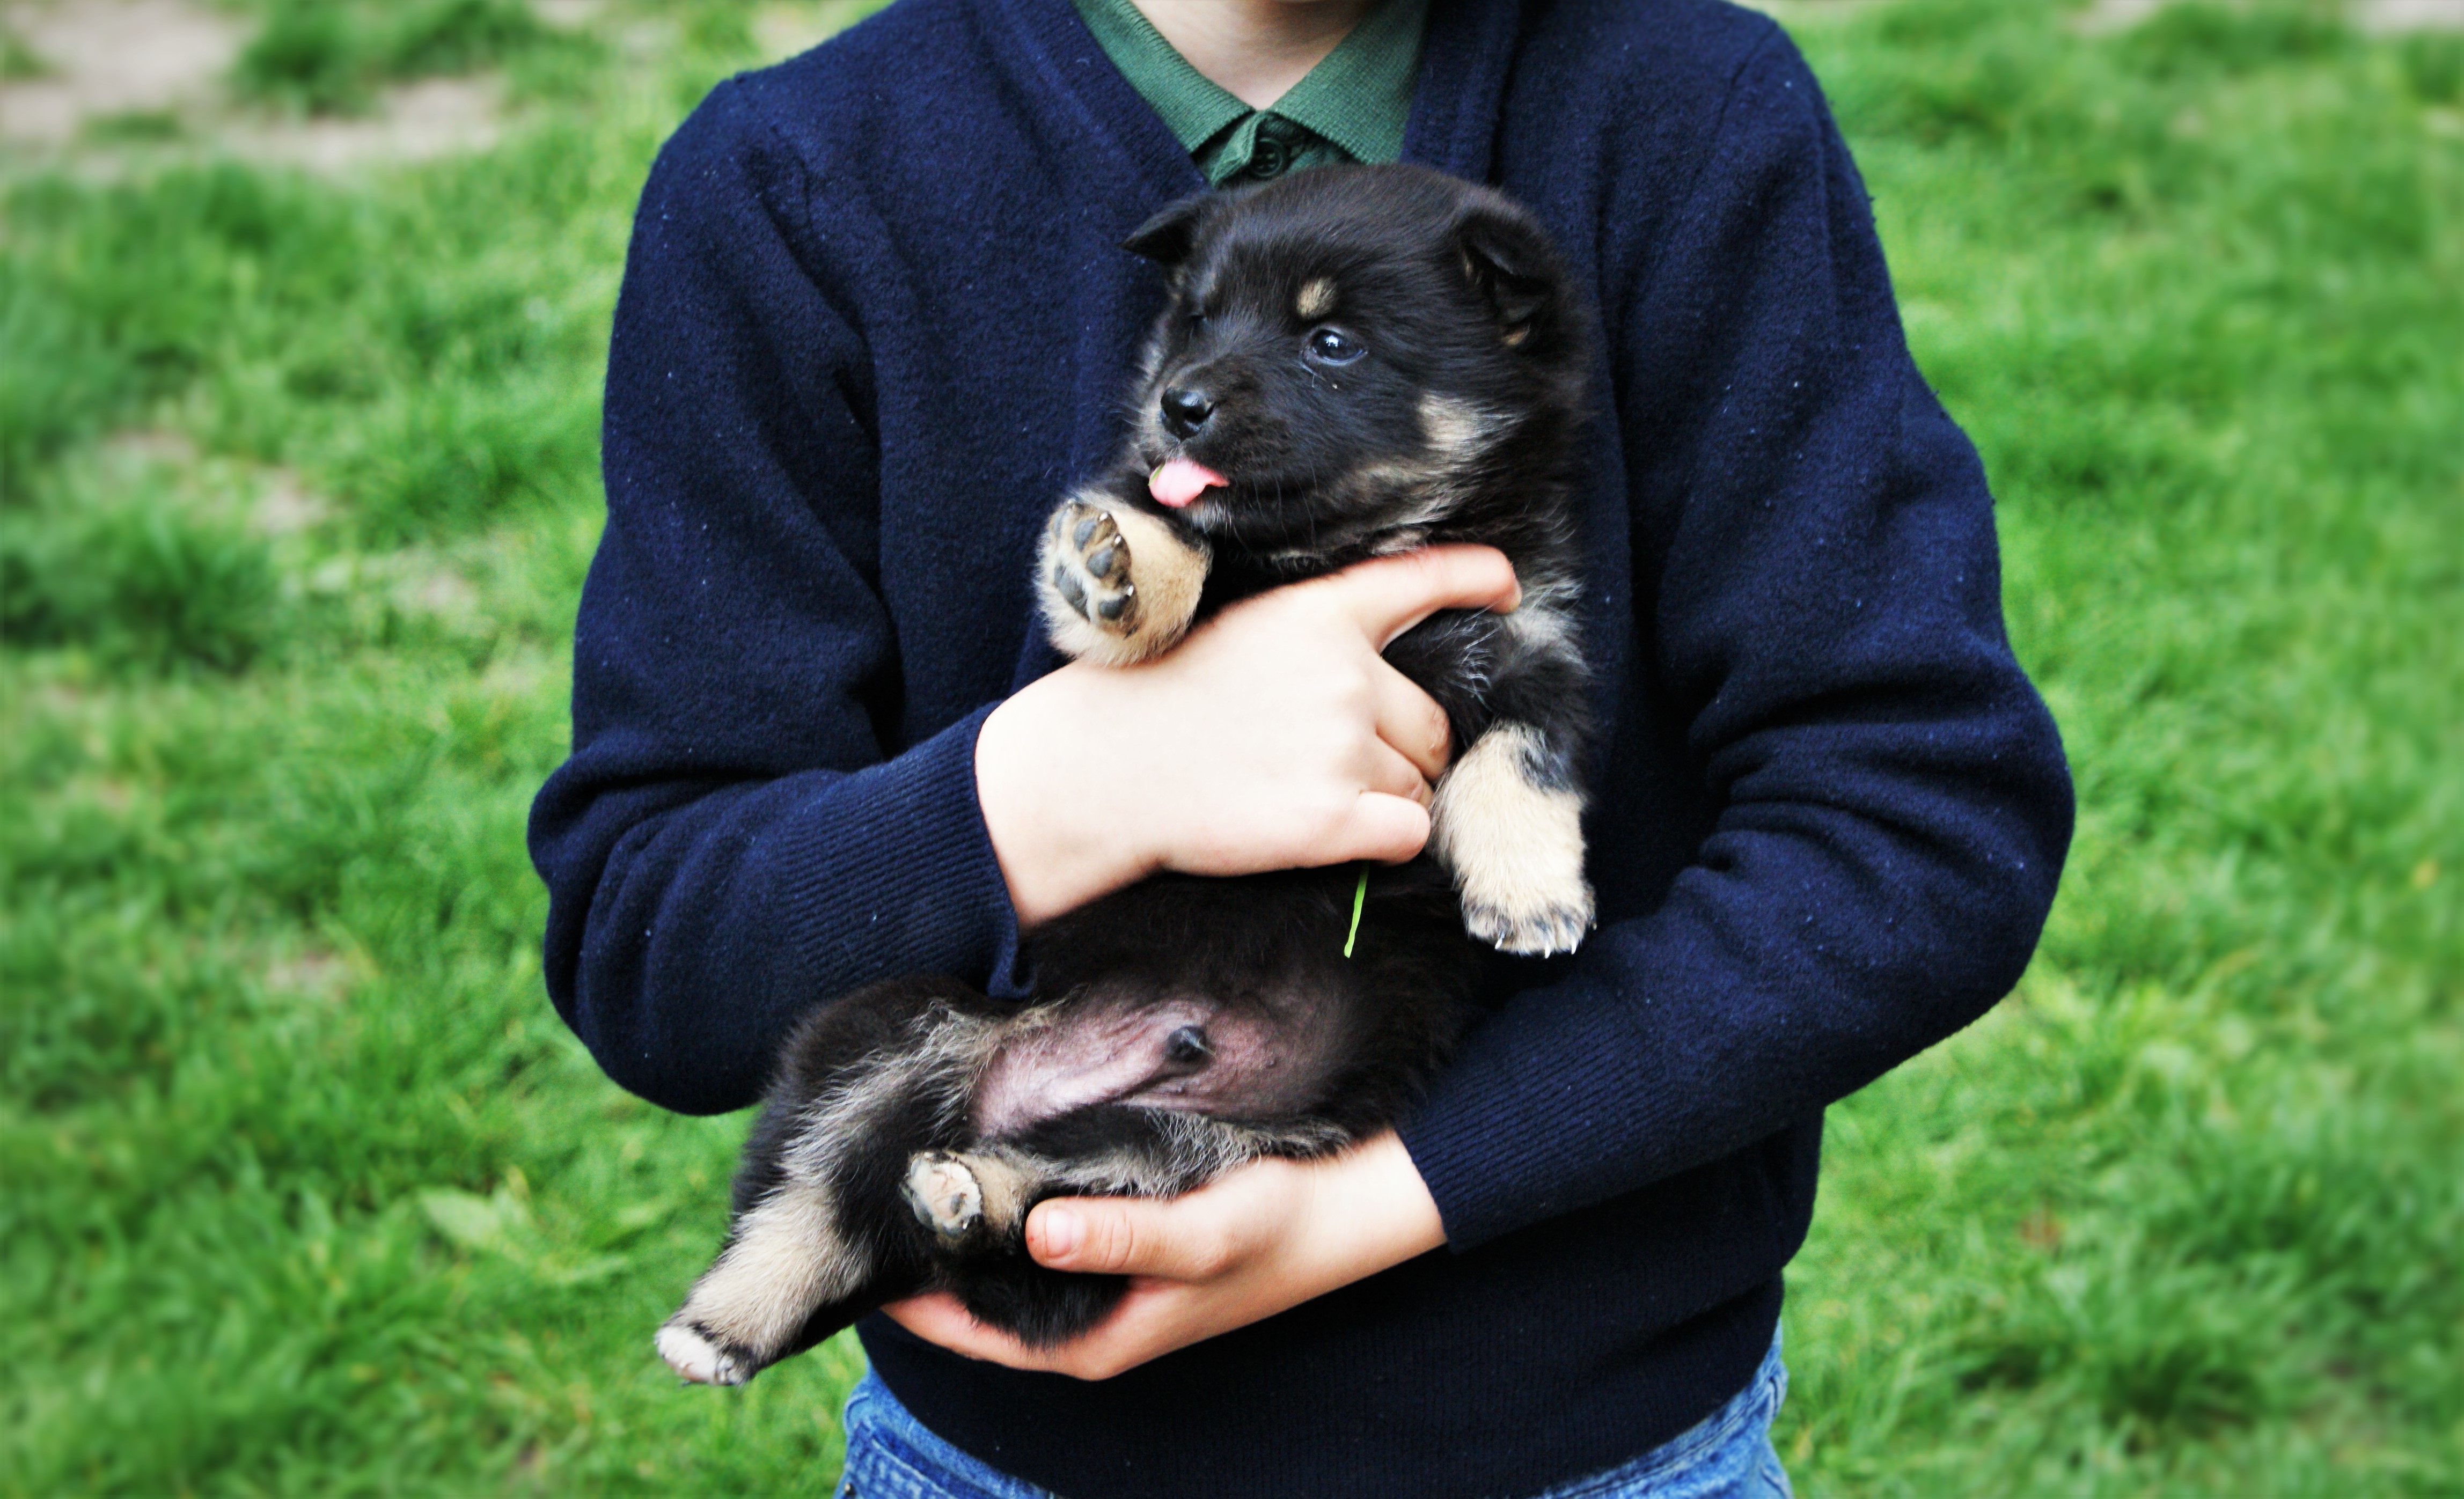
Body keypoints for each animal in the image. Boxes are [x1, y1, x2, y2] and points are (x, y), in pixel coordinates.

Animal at [650, 161, 1596, 1380]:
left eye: (1332, 341)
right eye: (1195, 317)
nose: (1178, 404)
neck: (1341, 547)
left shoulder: (1534, 638)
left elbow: (1523, 760)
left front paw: (1530, 895)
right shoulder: (1166, 556)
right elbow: (1167, 535)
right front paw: (1114, 568)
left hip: (1214, 1143)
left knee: (1041, 1203)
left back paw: (965, 1192)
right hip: (889, 1030)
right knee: (813, 1193)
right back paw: (724, 1318)